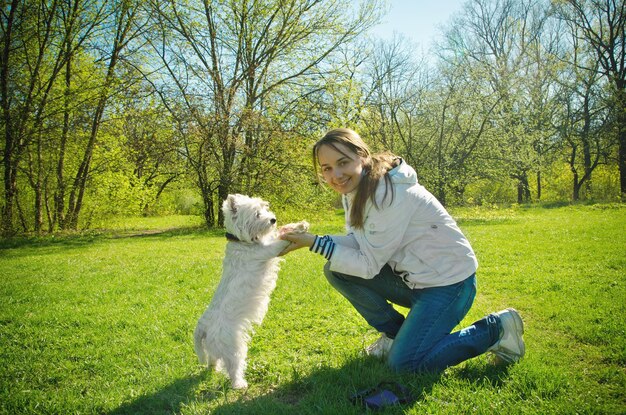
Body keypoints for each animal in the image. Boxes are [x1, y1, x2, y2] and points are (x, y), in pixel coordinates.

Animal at [191, 195, 306, 390]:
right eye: (257, 214)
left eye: (265, 208)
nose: (273, 219)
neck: (242, 242)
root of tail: (203, 326)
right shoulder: (267, 251)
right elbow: (280, 241)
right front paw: (299, 228)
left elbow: (277, 233)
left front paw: (296, 225)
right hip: (233, 346)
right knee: (233, 367)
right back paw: (239, 384)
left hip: (214, 346)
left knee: (213, 359)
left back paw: (213, 369)